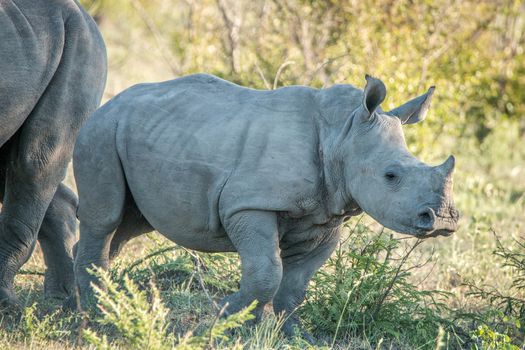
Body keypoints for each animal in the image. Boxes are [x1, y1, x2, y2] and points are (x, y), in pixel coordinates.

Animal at [73, 73, 458, 340]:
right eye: (391, 175)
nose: (443, 220)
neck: (343, 134)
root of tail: (112, 101)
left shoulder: (325, 217)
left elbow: (295, 285)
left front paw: (291, 336)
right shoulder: (248, 206)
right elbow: (267, 273)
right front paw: (219, 320)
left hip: (138, 132)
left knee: (130, 224)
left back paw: (91, 298)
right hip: (100, 130)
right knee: (105, 219)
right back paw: (96, 309)